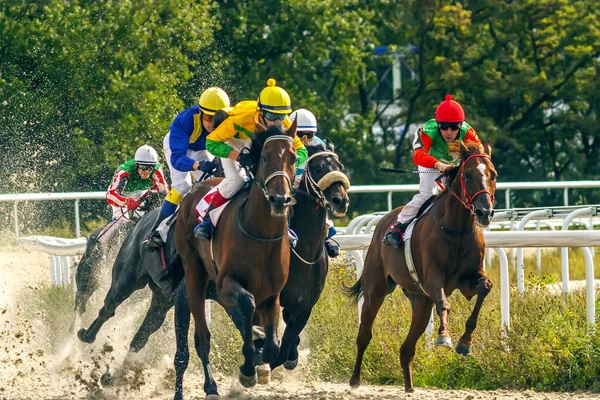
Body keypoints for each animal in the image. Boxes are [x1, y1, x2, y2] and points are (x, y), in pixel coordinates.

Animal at [176, 120, 300, 398]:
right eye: (264, 157)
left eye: (294, 158)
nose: (279, 200)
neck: (262, 235)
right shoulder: (226, 285)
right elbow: (246, 304)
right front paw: (247, 369)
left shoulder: (272, 295)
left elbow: (273, 344)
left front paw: (260, 354)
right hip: (194, 274)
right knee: (202, 337)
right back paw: (211, 386)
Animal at [346, 140, 496, 390]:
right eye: (467, 174)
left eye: (493, 174)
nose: (485, 212)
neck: (456, 228)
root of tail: (384, 221)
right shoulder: (433, 278)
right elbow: (444, 303)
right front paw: (444, 336)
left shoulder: (468, 278)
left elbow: (485, 288)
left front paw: (465, 342)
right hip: (375, 289)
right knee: (364, 334)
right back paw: (355, 379)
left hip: (420, 301)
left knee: (406, 349)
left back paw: (409, 387)